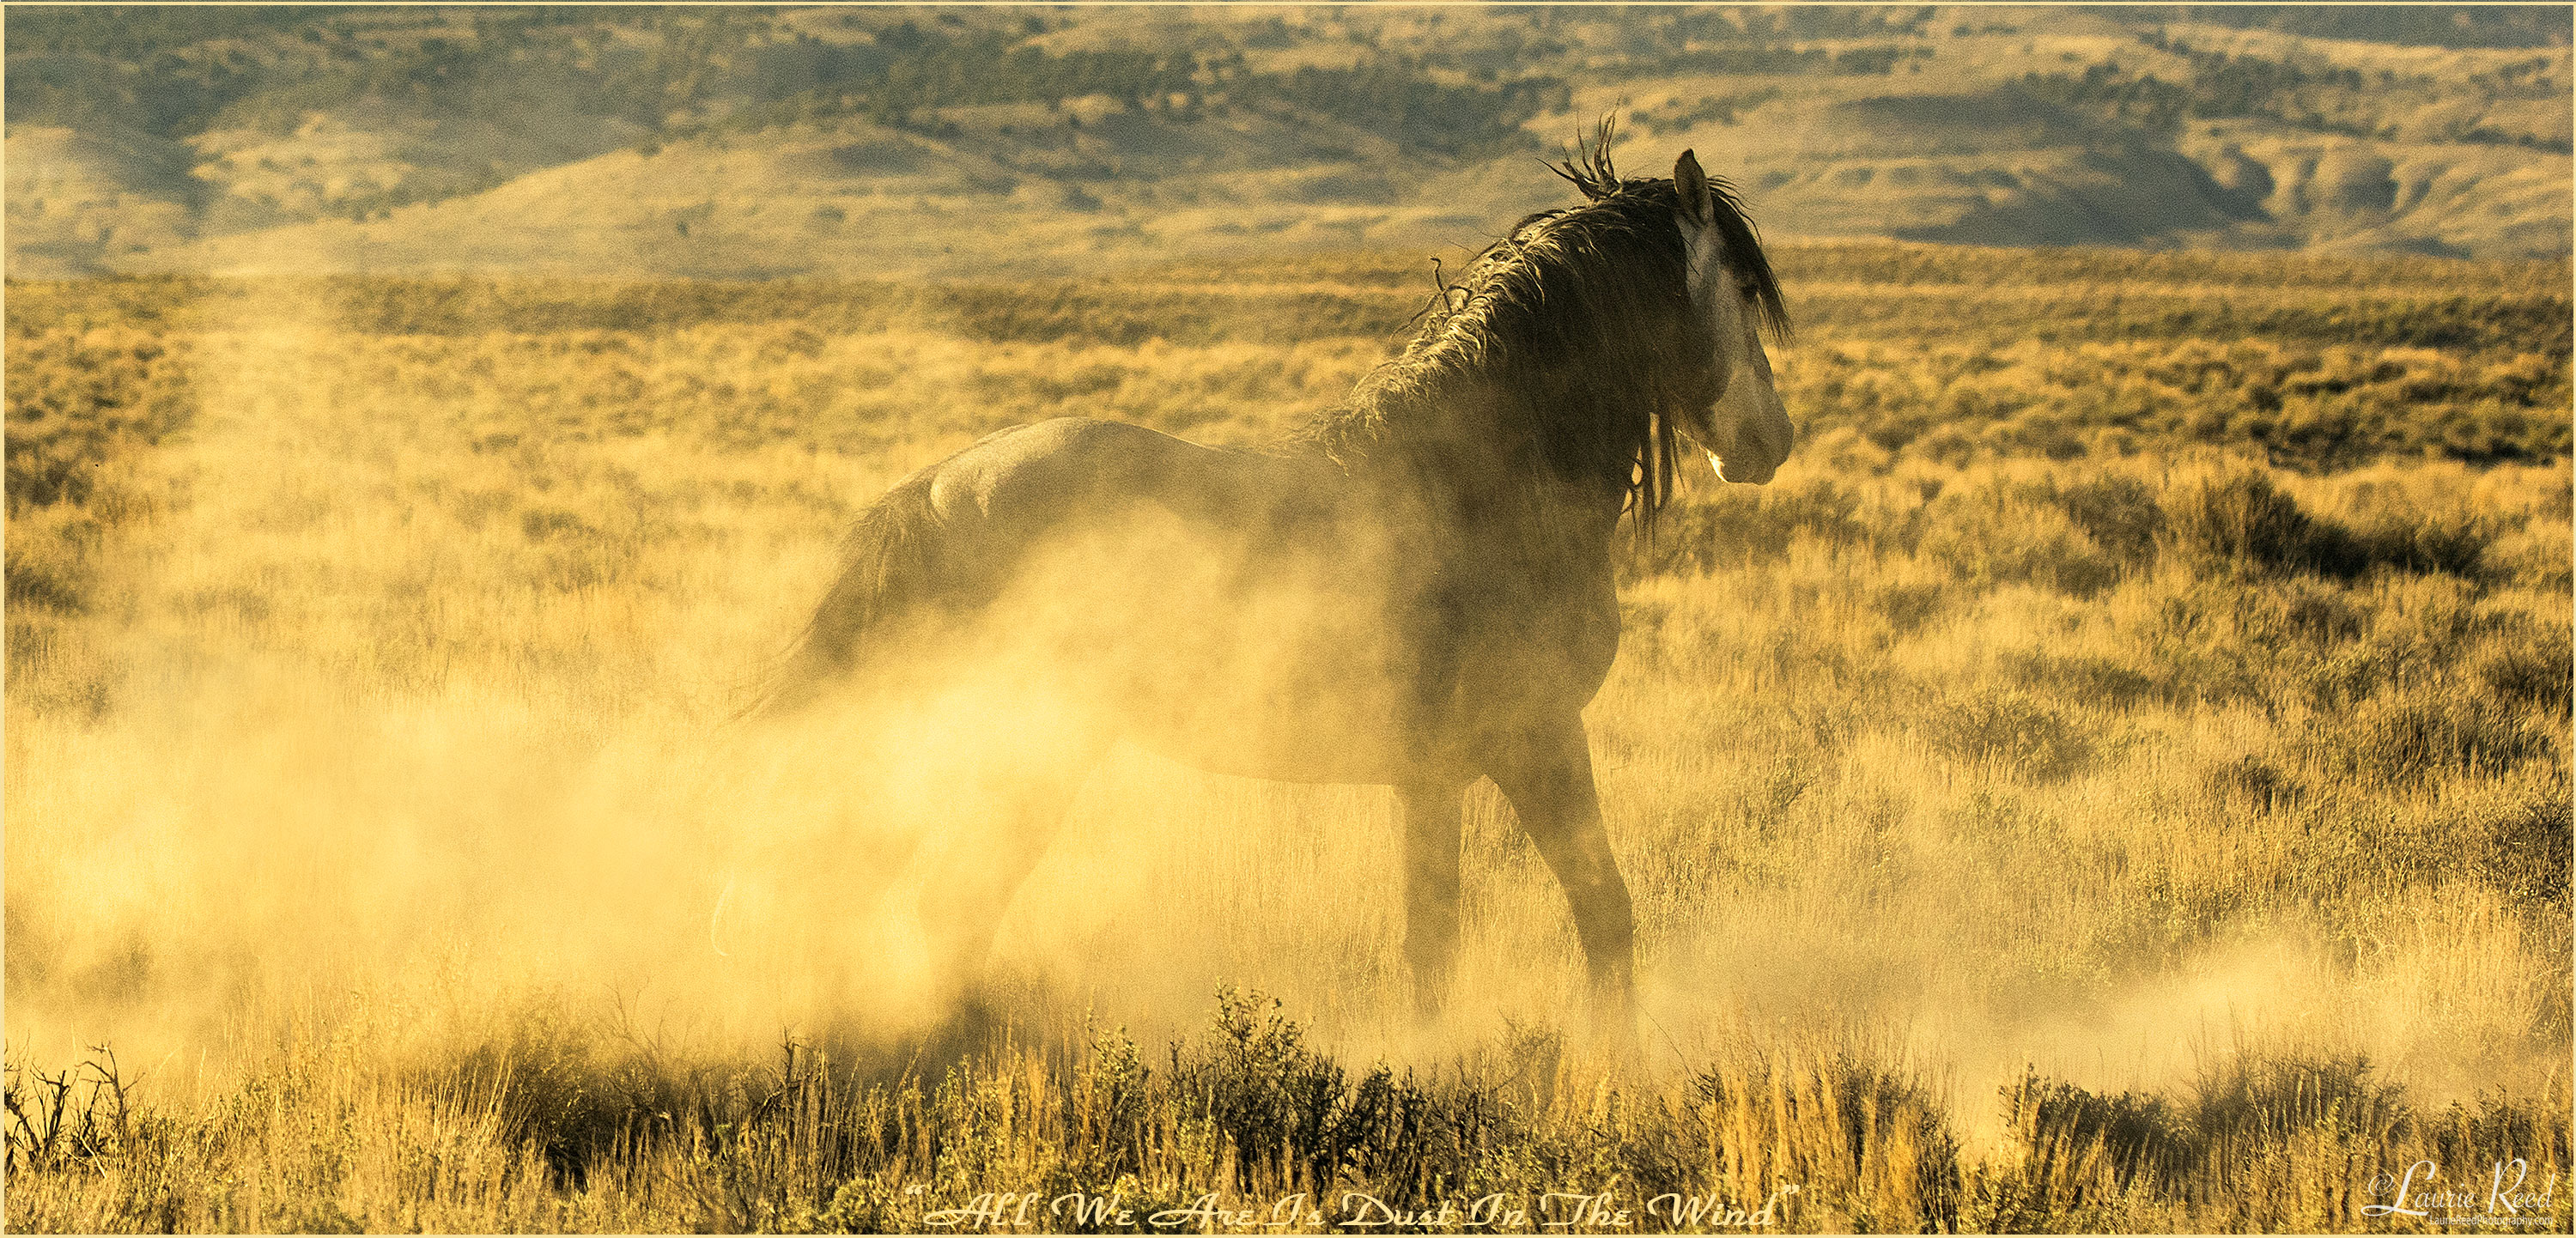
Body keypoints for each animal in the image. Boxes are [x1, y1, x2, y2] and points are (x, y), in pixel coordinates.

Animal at [752, 138, 1793, 1032]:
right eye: (1743, 287)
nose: (1771, 442)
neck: (1482, 475)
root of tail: (937, 491)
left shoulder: (1432, 775)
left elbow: (1433, 945)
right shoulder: (1535, 738)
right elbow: (1604, 914)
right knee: (946, 906)